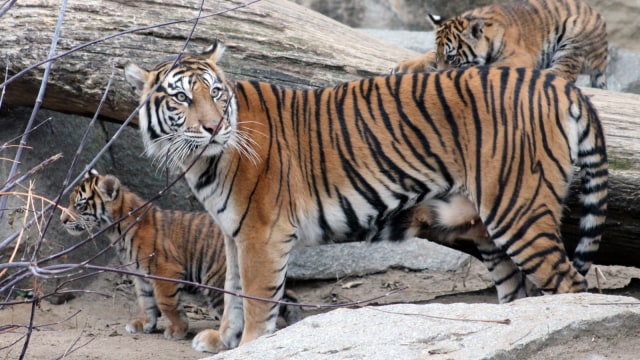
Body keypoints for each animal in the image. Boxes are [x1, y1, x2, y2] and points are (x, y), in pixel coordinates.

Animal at [61, 172, 302, 340]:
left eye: (79, 205)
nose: (62, 220)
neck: (115, 229)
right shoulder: (140, 275)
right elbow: (145, 301)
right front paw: (144, 324)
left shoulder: (164, 270)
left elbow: (166, 302)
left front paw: (177, 329)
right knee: (286, 297)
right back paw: (295, 320)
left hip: (216, 281)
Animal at [125, 41, 608, 352]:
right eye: (181, 98)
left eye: (216, 93)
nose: (214, 127)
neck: (203, 160)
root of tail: (555, 83)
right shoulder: (233, 232)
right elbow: (231, 289)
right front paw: (223, 339)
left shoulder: (261, 234)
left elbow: (258, 296)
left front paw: (249, 346)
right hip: (491, 229)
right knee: (519, 293)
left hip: (518, 211)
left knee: (571, 286)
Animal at [392, 0, 608, 88]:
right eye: (439, 57)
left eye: (452, 58)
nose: (437, 73)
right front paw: (403, 66)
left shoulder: (520, 57)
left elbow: (488, 67)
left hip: (573, 37)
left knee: (565, 73)